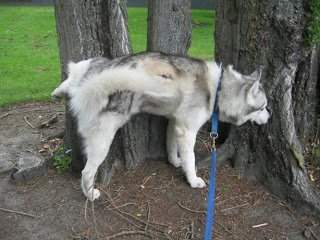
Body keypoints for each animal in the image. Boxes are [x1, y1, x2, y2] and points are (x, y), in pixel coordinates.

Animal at [52, 52, 270, 201]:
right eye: (263, 107)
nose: (269, 117)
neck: (218, 89)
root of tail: (90, 84)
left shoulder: (175, 123)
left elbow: (172, 147)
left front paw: (175, 162)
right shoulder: (187, 130)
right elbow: (190, 158)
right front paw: (193, 180)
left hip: (95, 64)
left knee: (78, 69)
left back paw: (59, 90)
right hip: (103, 140)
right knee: (86, 173)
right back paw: (90, 194)